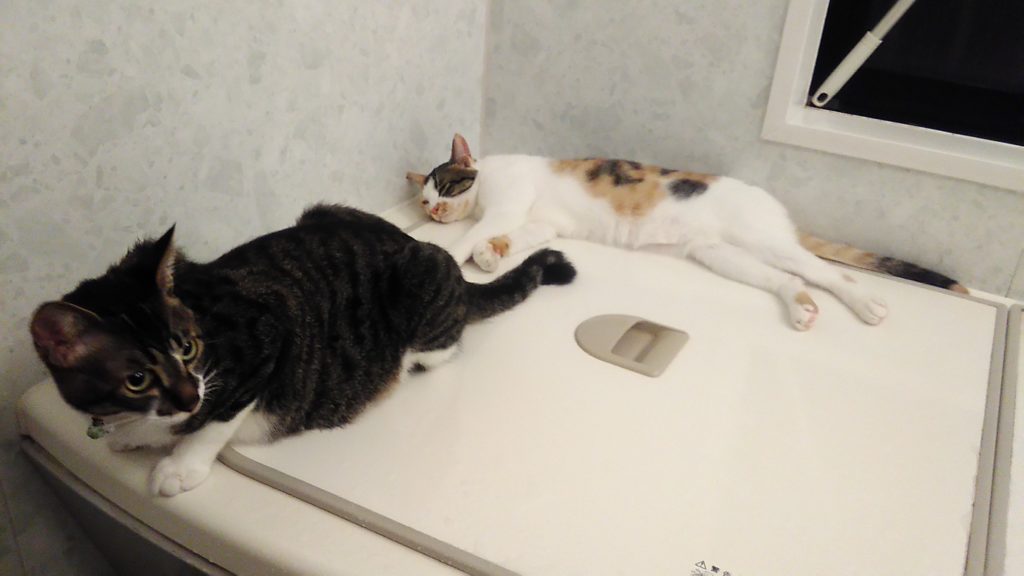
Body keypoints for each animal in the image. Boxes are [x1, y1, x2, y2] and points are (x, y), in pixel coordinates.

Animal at [29, 204, 576, 496]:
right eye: (136, 378)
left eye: (187, 347)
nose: (188, 397)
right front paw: (133, 437)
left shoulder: (265, 342)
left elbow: (216, 421)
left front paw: (180, 466)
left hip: (420, 296)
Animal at [408, 134, 966, 331]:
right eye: (424, 201)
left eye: (445, 186)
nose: (433, 211)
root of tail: (777, 211)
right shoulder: (544, 223)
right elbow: (516, 240)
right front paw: (490, 254)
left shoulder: (508, 201)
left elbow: (476, 235)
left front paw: (457, 248)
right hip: (722, 254)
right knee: (788, 281)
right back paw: (801, 308)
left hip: (763, 240)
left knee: (829, 273)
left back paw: (866, 304)